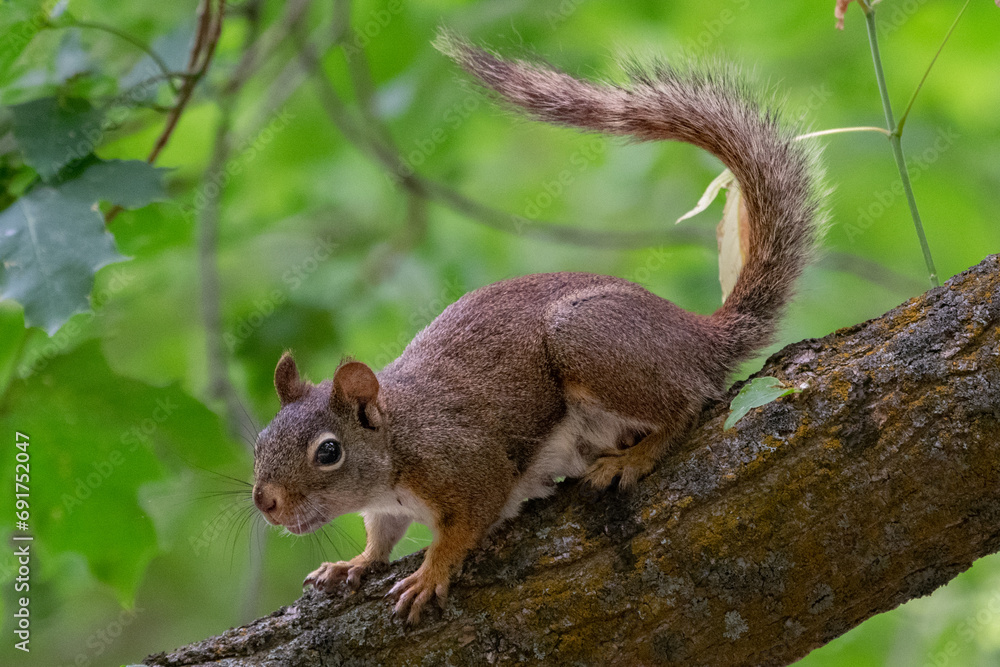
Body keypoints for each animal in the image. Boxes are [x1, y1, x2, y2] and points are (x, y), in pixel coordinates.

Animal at [251, 31, 824, 625]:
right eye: (260, 442)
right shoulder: (388, 508)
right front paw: (355, 564)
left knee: (686, 405)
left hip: (585, 335)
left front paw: (430, 573)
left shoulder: (467, 465)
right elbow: (380, 536)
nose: (265, 502)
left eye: (328, 452)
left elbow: (464, 527)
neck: (397, 440)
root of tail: (698, 336)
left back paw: (635, 457)